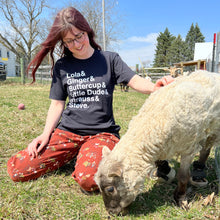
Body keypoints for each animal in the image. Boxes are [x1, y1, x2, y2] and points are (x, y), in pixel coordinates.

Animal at [94, 71, 220, 217]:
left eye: (110, 189)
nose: (111, 212)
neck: (156, 120)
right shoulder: (160, 146)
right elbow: (160, 161)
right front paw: (164, 172)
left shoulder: (188, 147)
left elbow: (183, 177)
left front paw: (181, 200)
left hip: (212, 129)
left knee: (205, 149)